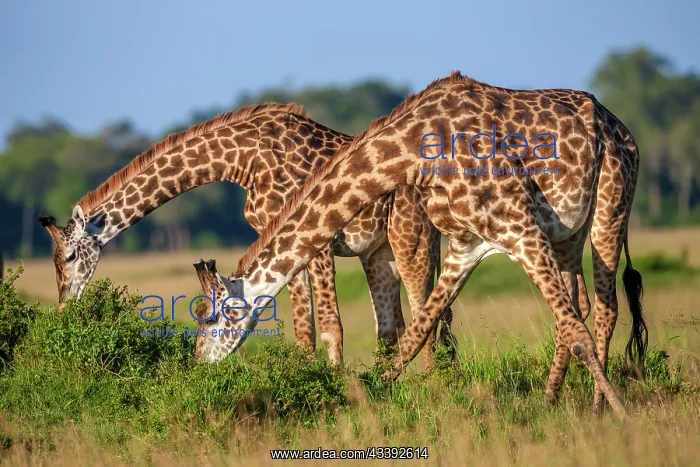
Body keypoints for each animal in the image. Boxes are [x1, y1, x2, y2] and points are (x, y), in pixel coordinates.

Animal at [37, 103, 454, 367]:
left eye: (69, 257)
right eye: (53, 263)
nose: (64, 307)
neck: (242, 160)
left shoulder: (317, 242)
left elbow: (330, 327)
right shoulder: (286, 242)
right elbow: (305, 331)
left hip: (411, 240)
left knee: (429, 316)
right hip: (384, 249)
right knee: (418, 321)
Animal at [192, 71, 647, 420]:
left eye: (209, 320)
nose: (198, 364)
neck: (412, 150)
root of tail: (621, 128)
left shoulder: (519, 227)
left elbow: (576, 333)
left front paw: (625, 418)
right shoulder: (466, 244)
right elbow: (416, 333)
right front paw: (356, 401)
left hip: (611, 208)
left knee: (603, 311)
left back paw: (598, 409)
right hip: (570, 232)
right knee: (579, 308)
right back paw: (553, 400)